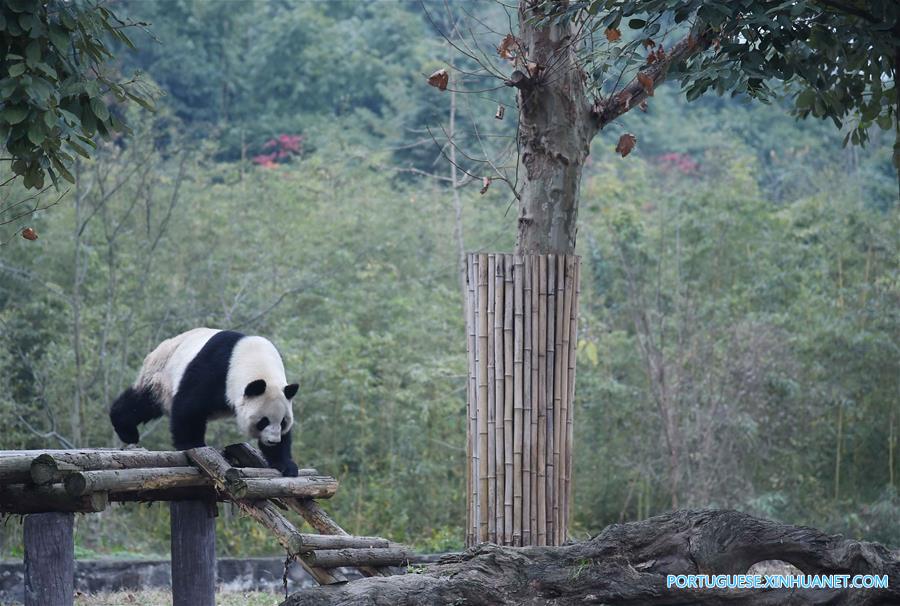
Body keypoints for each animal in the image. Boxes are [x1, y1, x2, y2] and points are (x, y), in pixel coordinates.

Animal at [108, 330, 298, 478]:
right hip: (160, 376)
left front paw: (286, 464)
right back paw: (126, 430)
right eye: (263, 421)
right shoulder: (216, 370)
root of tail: (159, 348)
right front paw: (192, 445)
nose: (273, 441)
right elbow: (189, 407)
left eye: (283, 422)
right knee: (142, 403)